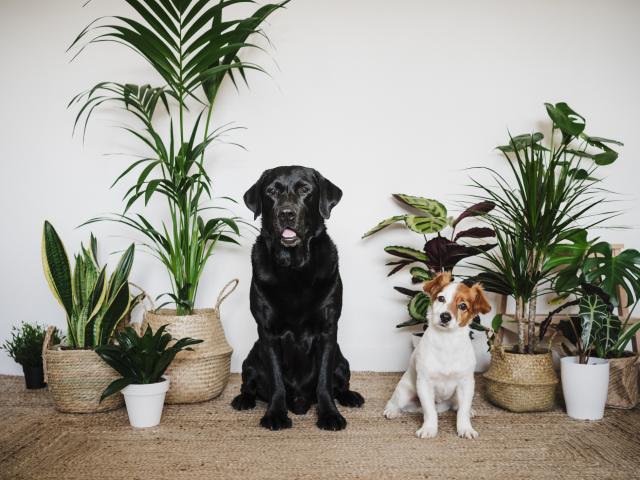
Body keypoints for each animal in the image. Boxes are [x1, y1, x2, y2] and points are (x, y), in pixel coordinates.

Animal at [384, 270, 490, 438]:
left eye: (462, 306)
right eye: (441, 298)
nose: (445, 316)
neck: (446, 341)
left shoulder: (466, 384)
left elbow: (463, 411)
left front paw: (465, 428)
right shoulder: (424, 383)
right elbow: (430, 412)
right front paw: (429, 428)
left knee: (457, 406)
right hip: (404, 392)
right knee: (394, 402)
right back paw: (391, 411)